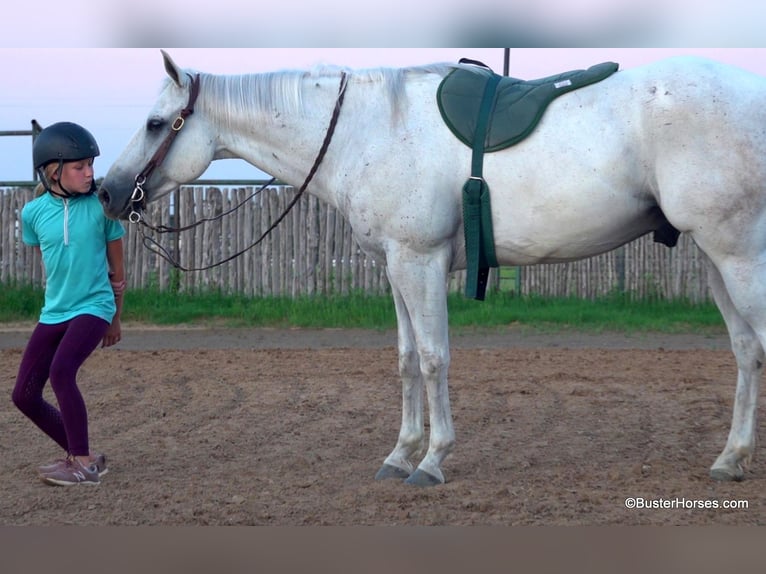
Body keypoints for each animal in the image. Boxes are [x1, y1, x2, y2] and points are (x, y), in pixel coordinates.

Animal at [99, 51, 766, 488]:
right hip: (715, 256)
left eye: (156, 124)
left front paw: (432, 459)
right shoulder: (396, 266)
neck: (369, 128)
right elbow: (404, 360)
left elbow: (433, 357)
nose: (108, 192)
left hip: (738, 254)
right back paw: (730, 458)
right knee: (745, 349)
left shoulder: (419, 262)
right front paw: (400, 453)